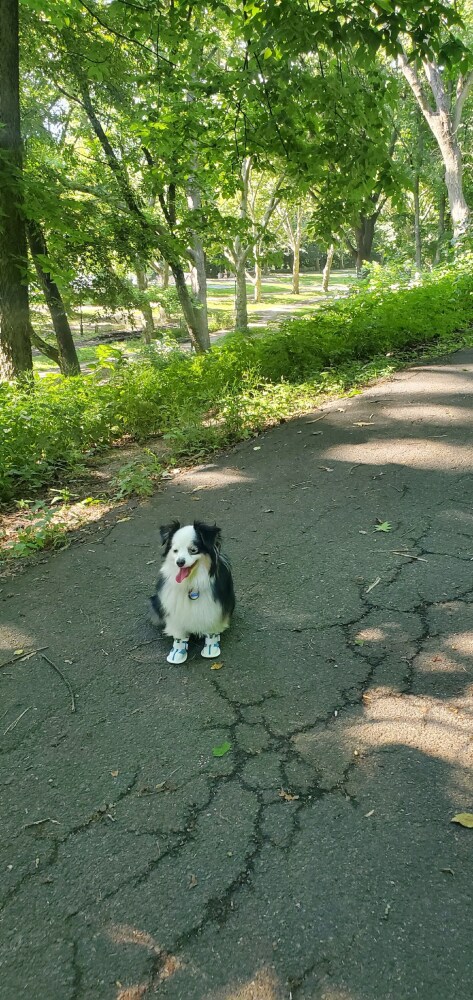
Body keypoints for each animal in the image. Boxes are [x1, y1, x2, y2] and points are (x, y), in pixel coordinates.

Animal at [149, 524, 234, 664]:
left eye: (193, 550)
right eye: (175, 550)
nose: (180, 562)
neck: (191, 583)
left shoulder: (214, 607)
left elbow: (211, 628)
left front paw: (211, 647)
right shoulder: (175, 611)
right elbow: (179, 633)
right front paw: (177, 651)